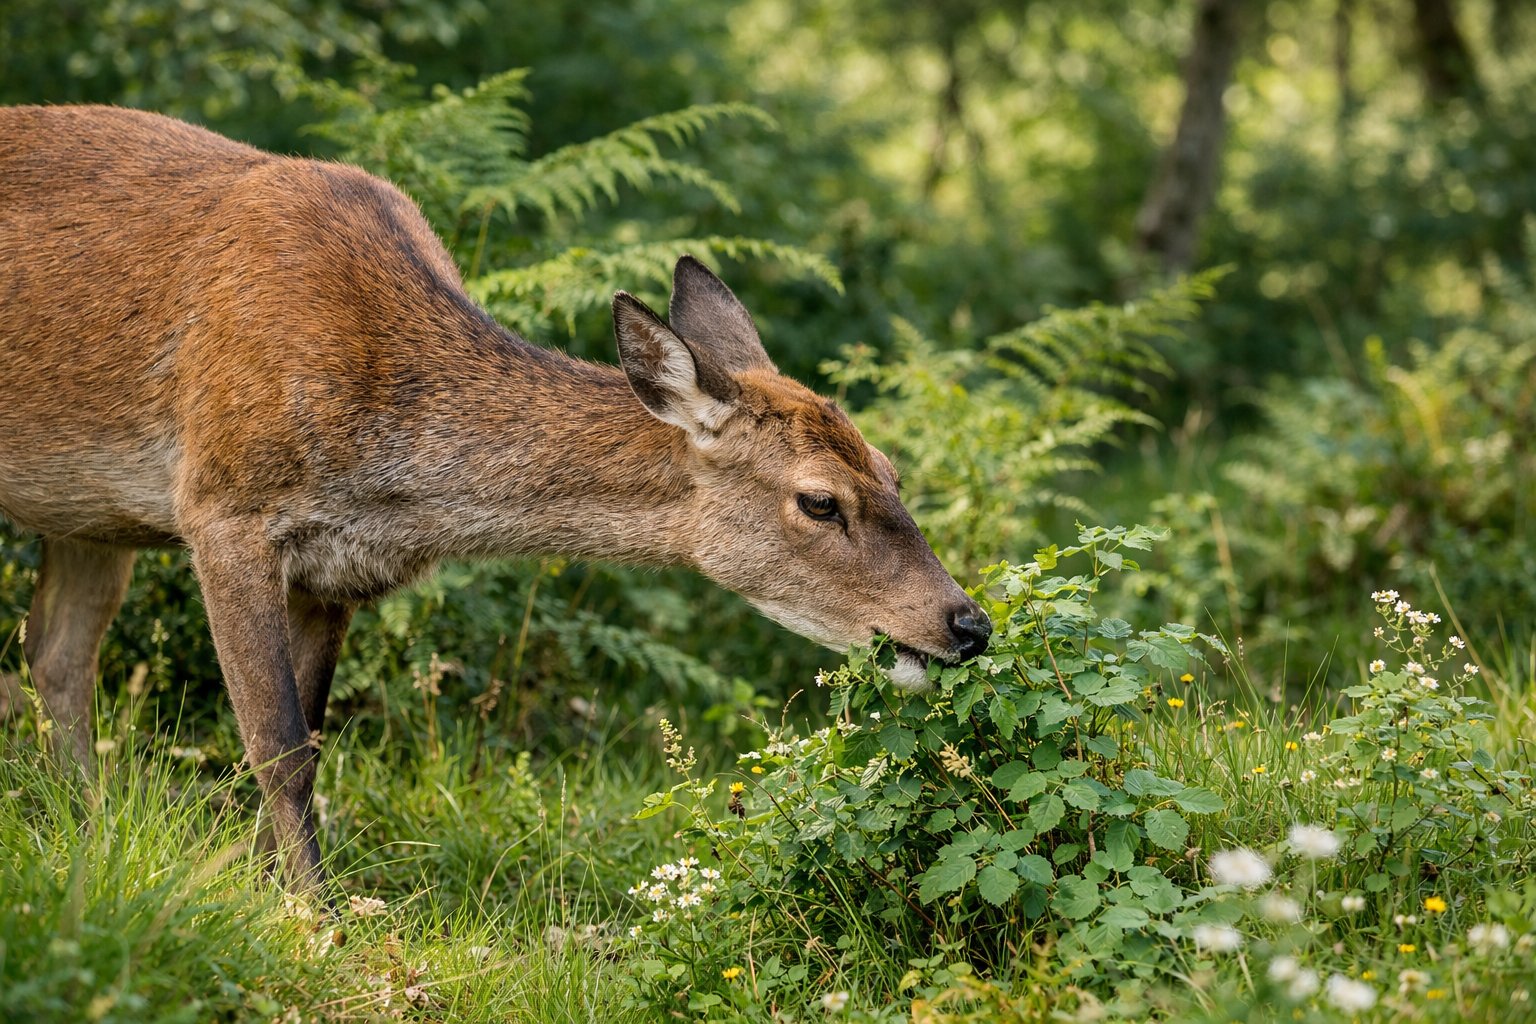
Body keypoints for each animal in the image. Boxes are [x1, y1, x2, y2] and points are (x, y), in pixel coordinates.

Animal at [0, 104, 991, 891]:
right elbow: (276, 746)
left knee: (55, 656)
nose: (967, 623)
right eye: (820, 501)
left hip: (91, 518)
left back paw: (84, 832)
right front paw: (314, 915)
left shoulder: (333, 572)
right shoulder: (222, 505)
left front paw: (264, 884)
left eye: (892, 470)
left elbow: (310, 743)